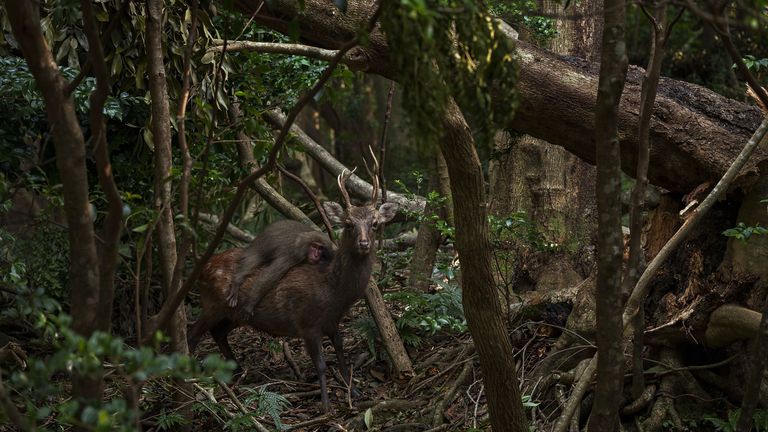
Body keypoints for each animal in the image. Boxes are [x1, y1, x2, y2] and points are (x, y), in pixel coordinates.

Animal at [189, 168, 400, 412]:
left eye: (375, 223)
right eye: (348, 224)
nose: (364, 243)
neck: (334, 293)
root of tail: (202, 269)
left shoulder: (333, 321)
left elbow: (340, 353)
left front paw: (354, 392)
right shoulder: (307, 323)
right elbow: (320, 364)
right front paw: (326, 405)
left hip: (234, 314)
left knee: (219, 332)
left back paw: (239, 371)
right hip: (211, 304)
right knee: (192, 334)